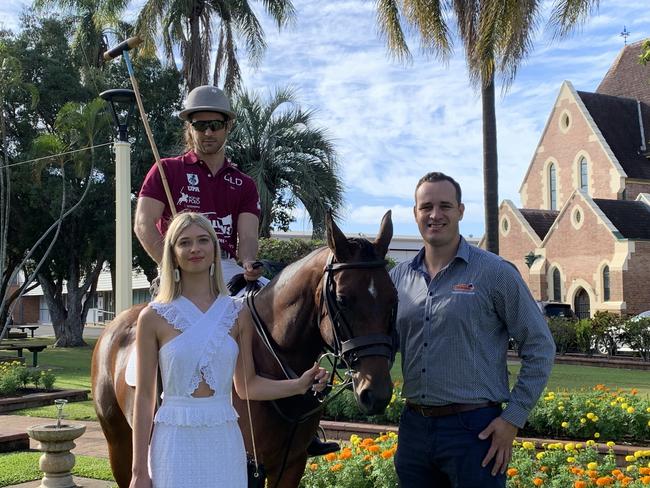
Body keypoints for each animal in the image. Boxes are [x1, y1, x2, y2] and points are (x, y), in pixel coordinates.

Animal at [91, 211, 394, 488]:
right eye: (342, 299)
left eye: (393, 296)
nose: (376, 394)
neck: (271, 362)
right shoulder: (250, 466)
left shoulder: (291, 464)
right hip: (119, 441)